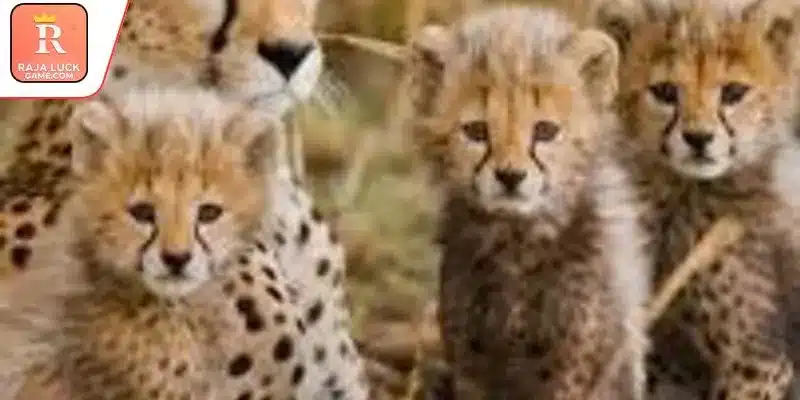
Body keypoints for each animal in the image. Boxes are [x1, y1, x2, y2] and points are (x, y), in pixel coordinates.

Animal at [405, 5, 651, 399]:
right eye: (476, 131)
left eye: (545, 131)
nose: (510, 177)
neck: (516, 241)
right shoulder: (471, 363)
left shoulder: (570, 365)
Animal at [593, 0, 800, 398]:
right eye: (665, 91)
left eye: (733, 92)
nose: (699, 138)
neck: (685, 195)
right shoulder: (665, 359)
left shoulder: (755, 359)